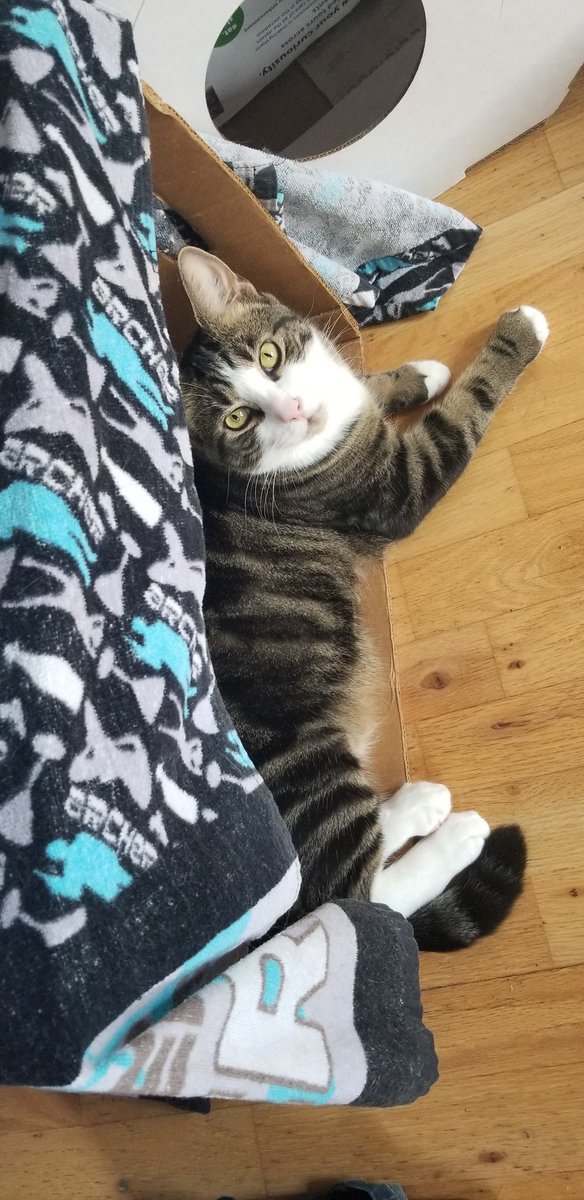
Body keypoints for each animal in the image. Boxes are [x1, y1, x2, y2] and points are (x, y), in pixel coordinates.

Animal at [178, 245, 548, 951]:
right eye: (238, 419)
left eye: (270, 356)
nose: (295, 409)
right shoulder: (396, 484)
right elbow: (463, 411)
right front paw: (516, 335)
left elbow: (365, 388)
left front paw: (414, 375)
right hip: (304, 763)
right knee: (362, 897)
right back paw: (454, 836)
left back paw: (417, 804)